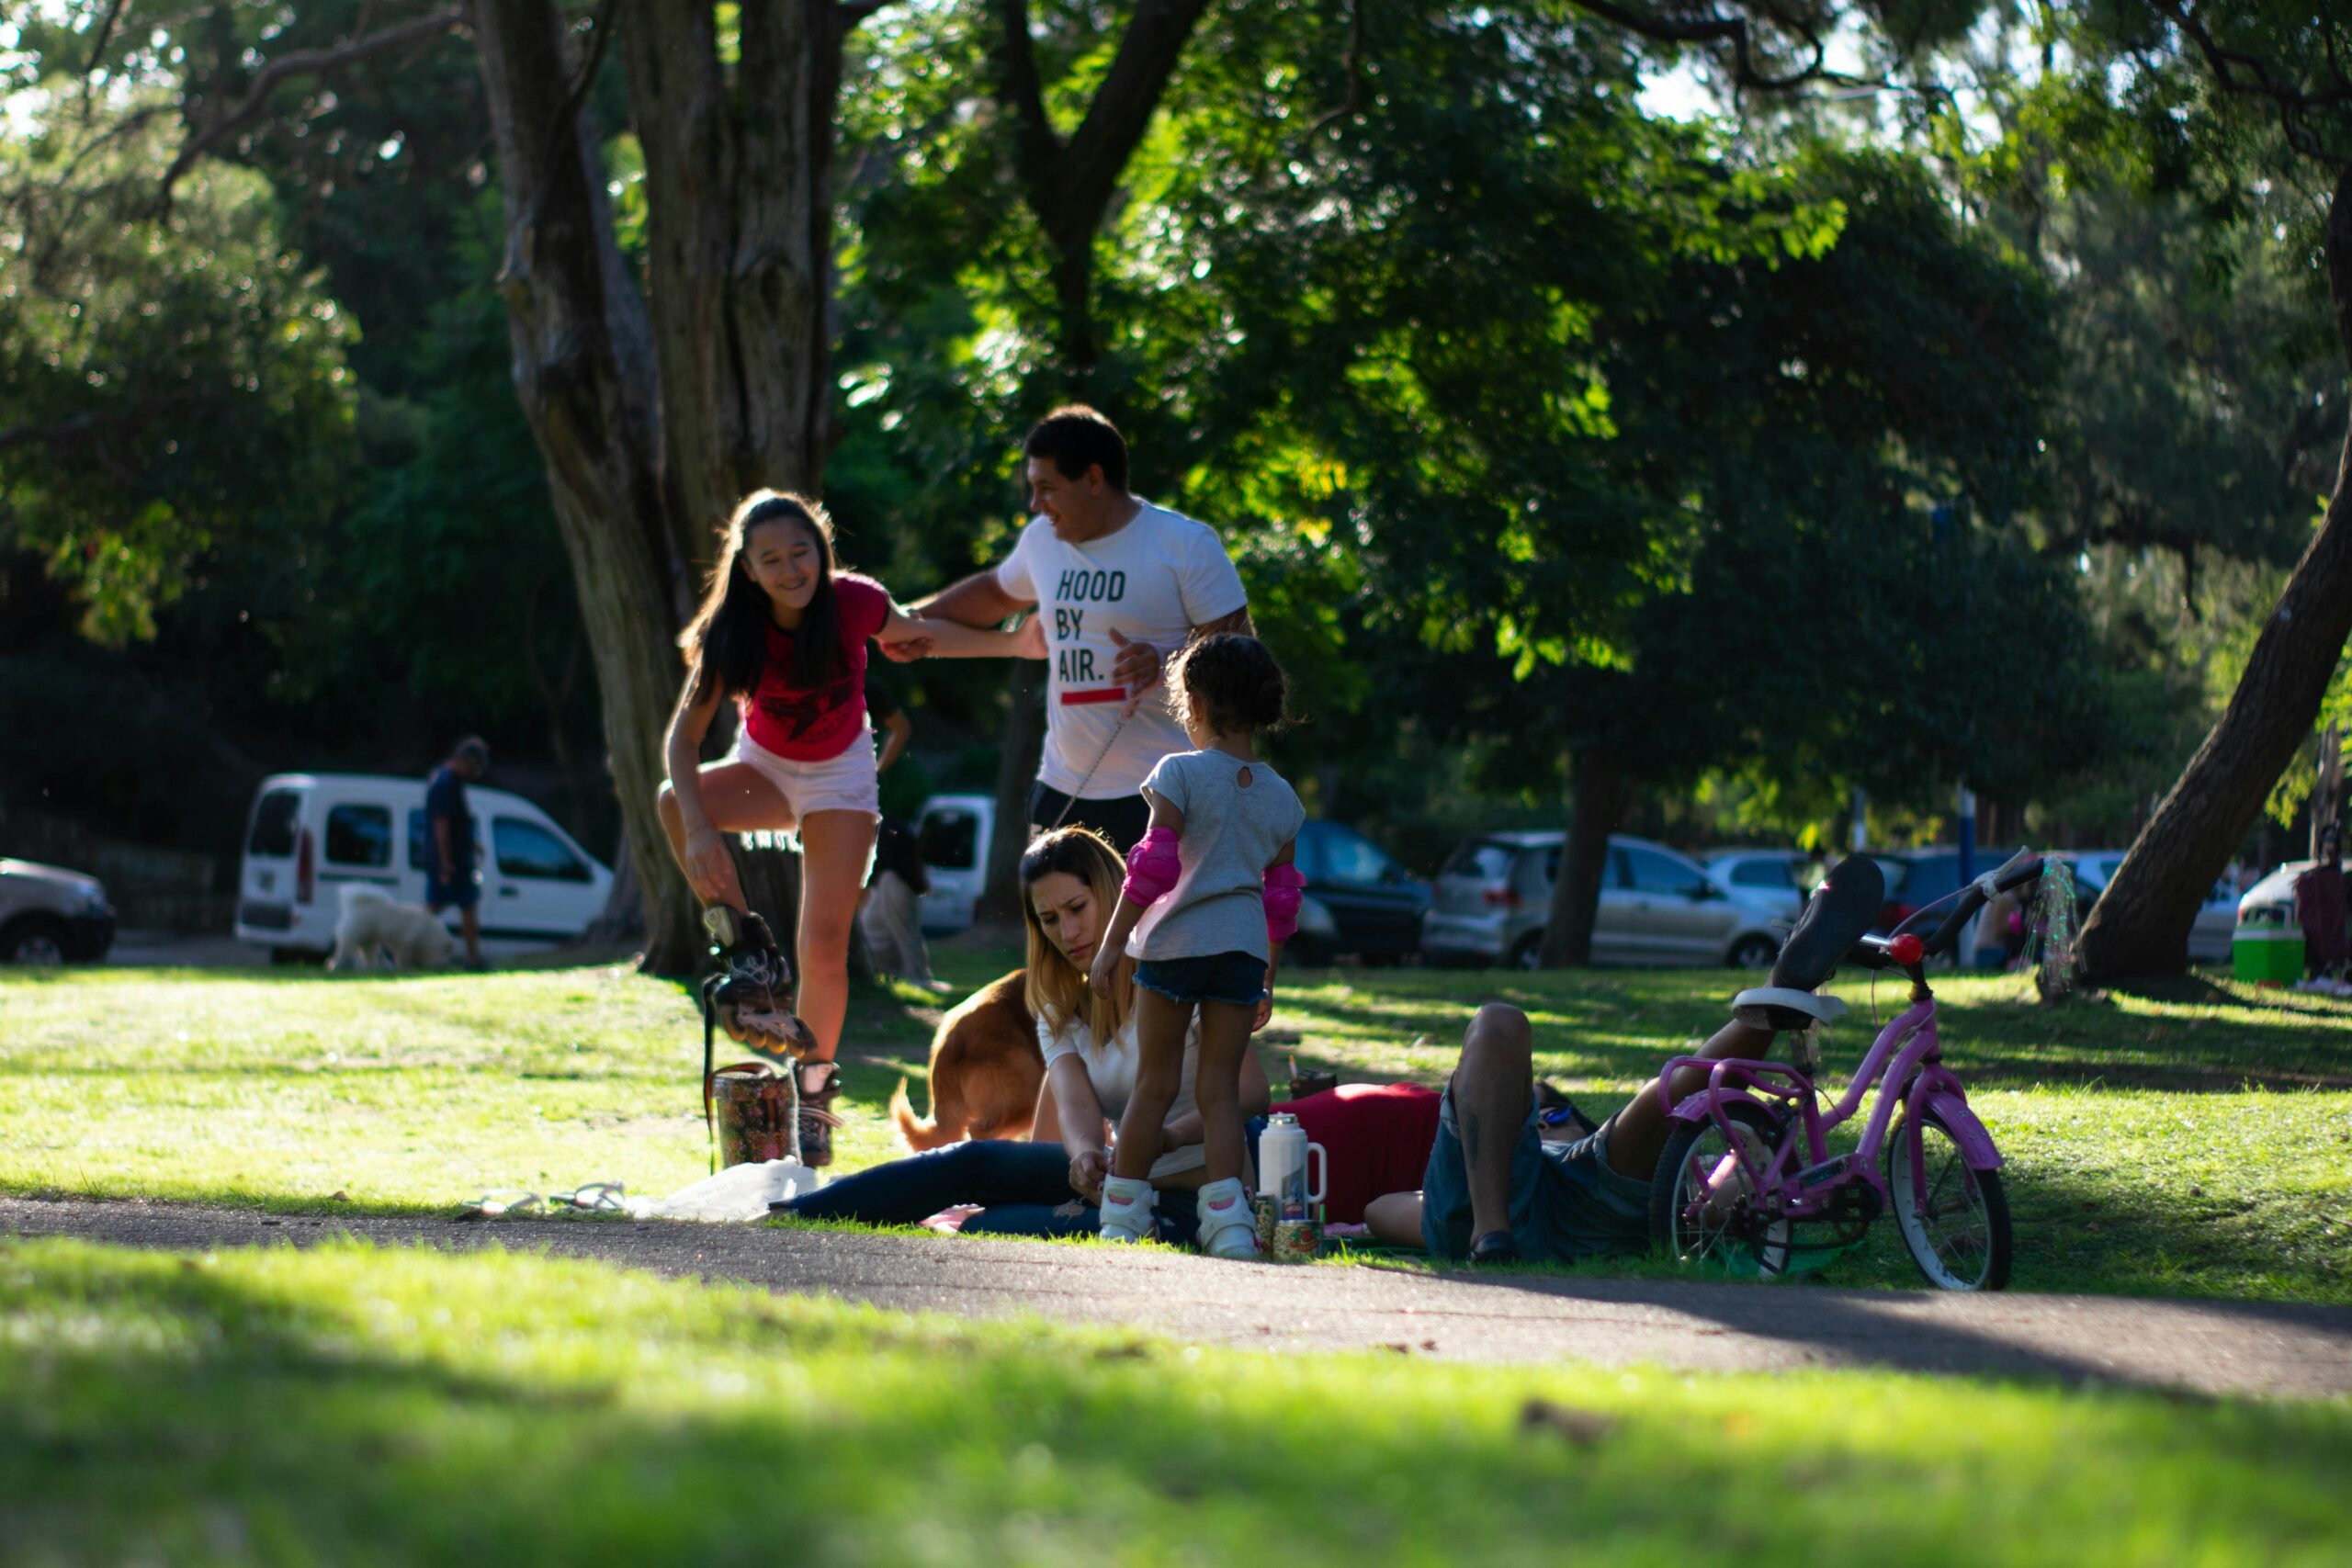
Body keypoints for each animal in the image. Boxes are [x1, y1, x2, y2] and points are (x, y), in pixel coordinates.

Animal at [331, 888, 458, 973]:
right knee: (342, 954)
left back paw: (373, 969)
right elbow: (404, 958)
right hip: (353, 939)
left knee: (369, 957)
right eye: (445, 955)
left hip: (369, 942)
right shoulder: (406, 944)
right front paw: (405, 968)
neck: (427, 933)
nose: (445, 966)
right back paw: (336, 968)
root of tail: (355, 905)